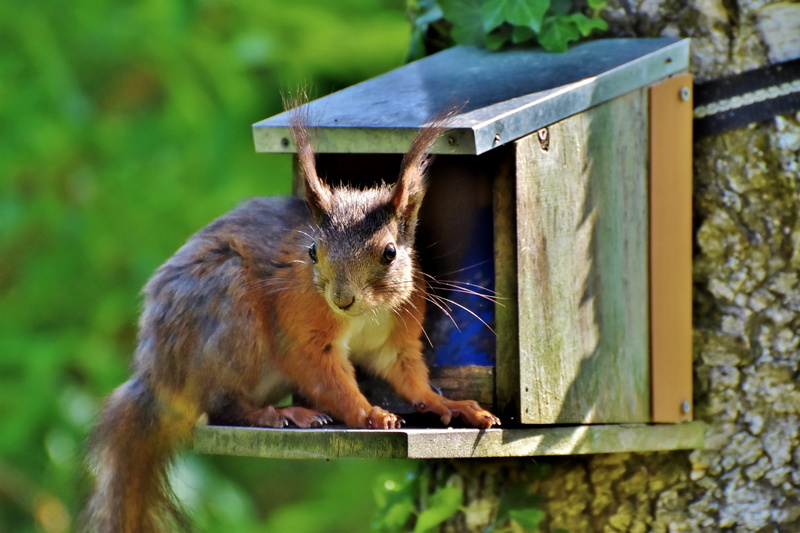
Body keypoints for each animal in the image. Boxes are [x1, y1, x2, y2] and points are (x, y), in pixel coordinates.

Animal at [82, 108, 500, 533]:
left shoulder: (394, 339)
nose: (341, 299)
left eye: (390, 252)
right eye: (312, 250)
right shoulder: (303, 328)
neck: (365, 314)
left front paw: (450, 404)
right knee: (220, 406)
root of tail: (157, 379)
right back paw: (280, 414)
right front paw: (369, 412)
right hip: (231, 317)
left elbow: (408, 376)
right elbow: (323, 374)